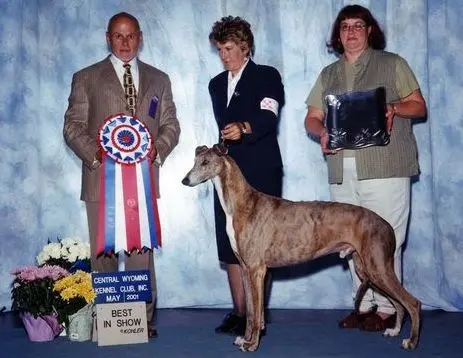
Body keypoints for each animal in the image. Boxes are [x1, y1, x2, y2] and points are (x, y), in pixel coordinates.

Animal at [183, 144, 422, 352]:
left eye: (206, 162)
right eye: (194, 161)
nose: (185, 180)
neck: (242, 203)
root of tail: (386, 224)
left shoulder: (256, 270)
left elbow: (257, 312)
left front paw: (252, 345)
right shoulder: (245, 269)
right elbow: (251, 312)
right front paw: (245, 339)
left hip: (378, 268)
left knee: (412, 303)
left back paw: (411, 341)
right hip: (367, 269)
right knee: (399, 303)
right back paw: (394, 331)